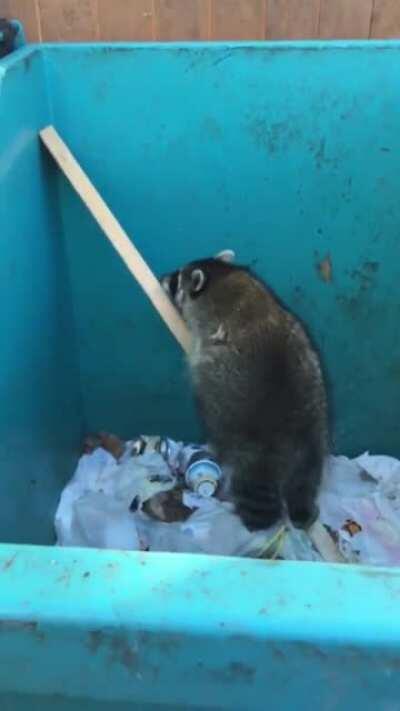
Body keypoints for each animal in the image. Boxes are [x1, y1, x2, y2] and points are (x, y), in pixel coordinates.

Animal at [161, 251, 328, 531]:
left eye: (176, 280)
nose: (163, 277)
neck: (223, 278)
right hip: (314, 436)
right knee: (305, 481)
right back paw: (303, 506)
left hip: (235, 433)